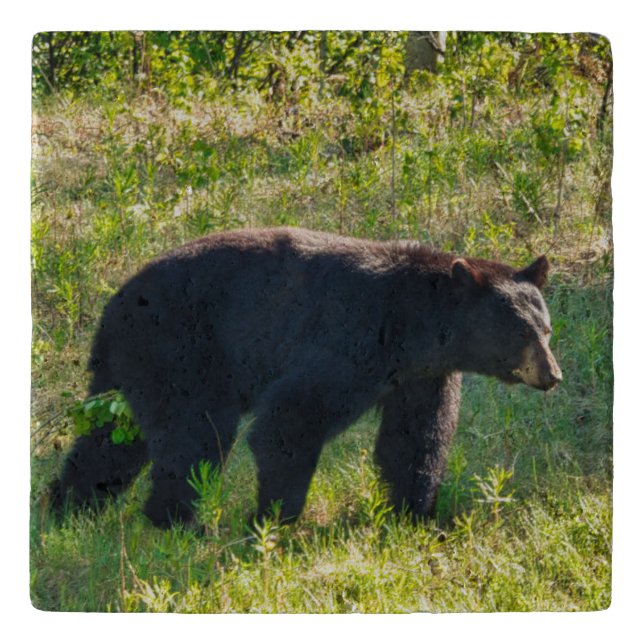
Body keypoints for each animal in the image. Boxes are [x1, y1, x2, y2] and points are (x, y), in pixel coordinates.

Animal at [52, 227, 562, 527]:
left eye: (546, 328)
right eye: (520, 331)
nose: (553, 375)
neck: (412, 323)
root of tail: (115, 301)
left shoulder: (424, 374)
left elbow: (415, 439)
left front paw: (414, 516)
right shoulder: (349, 341)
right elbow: (288, 422)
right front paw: (273, 519)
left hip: (132, 364)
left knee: (111, 438)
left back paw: (66, 507)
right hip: (180, 347)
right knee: (192, 435)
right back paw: (175, 521)